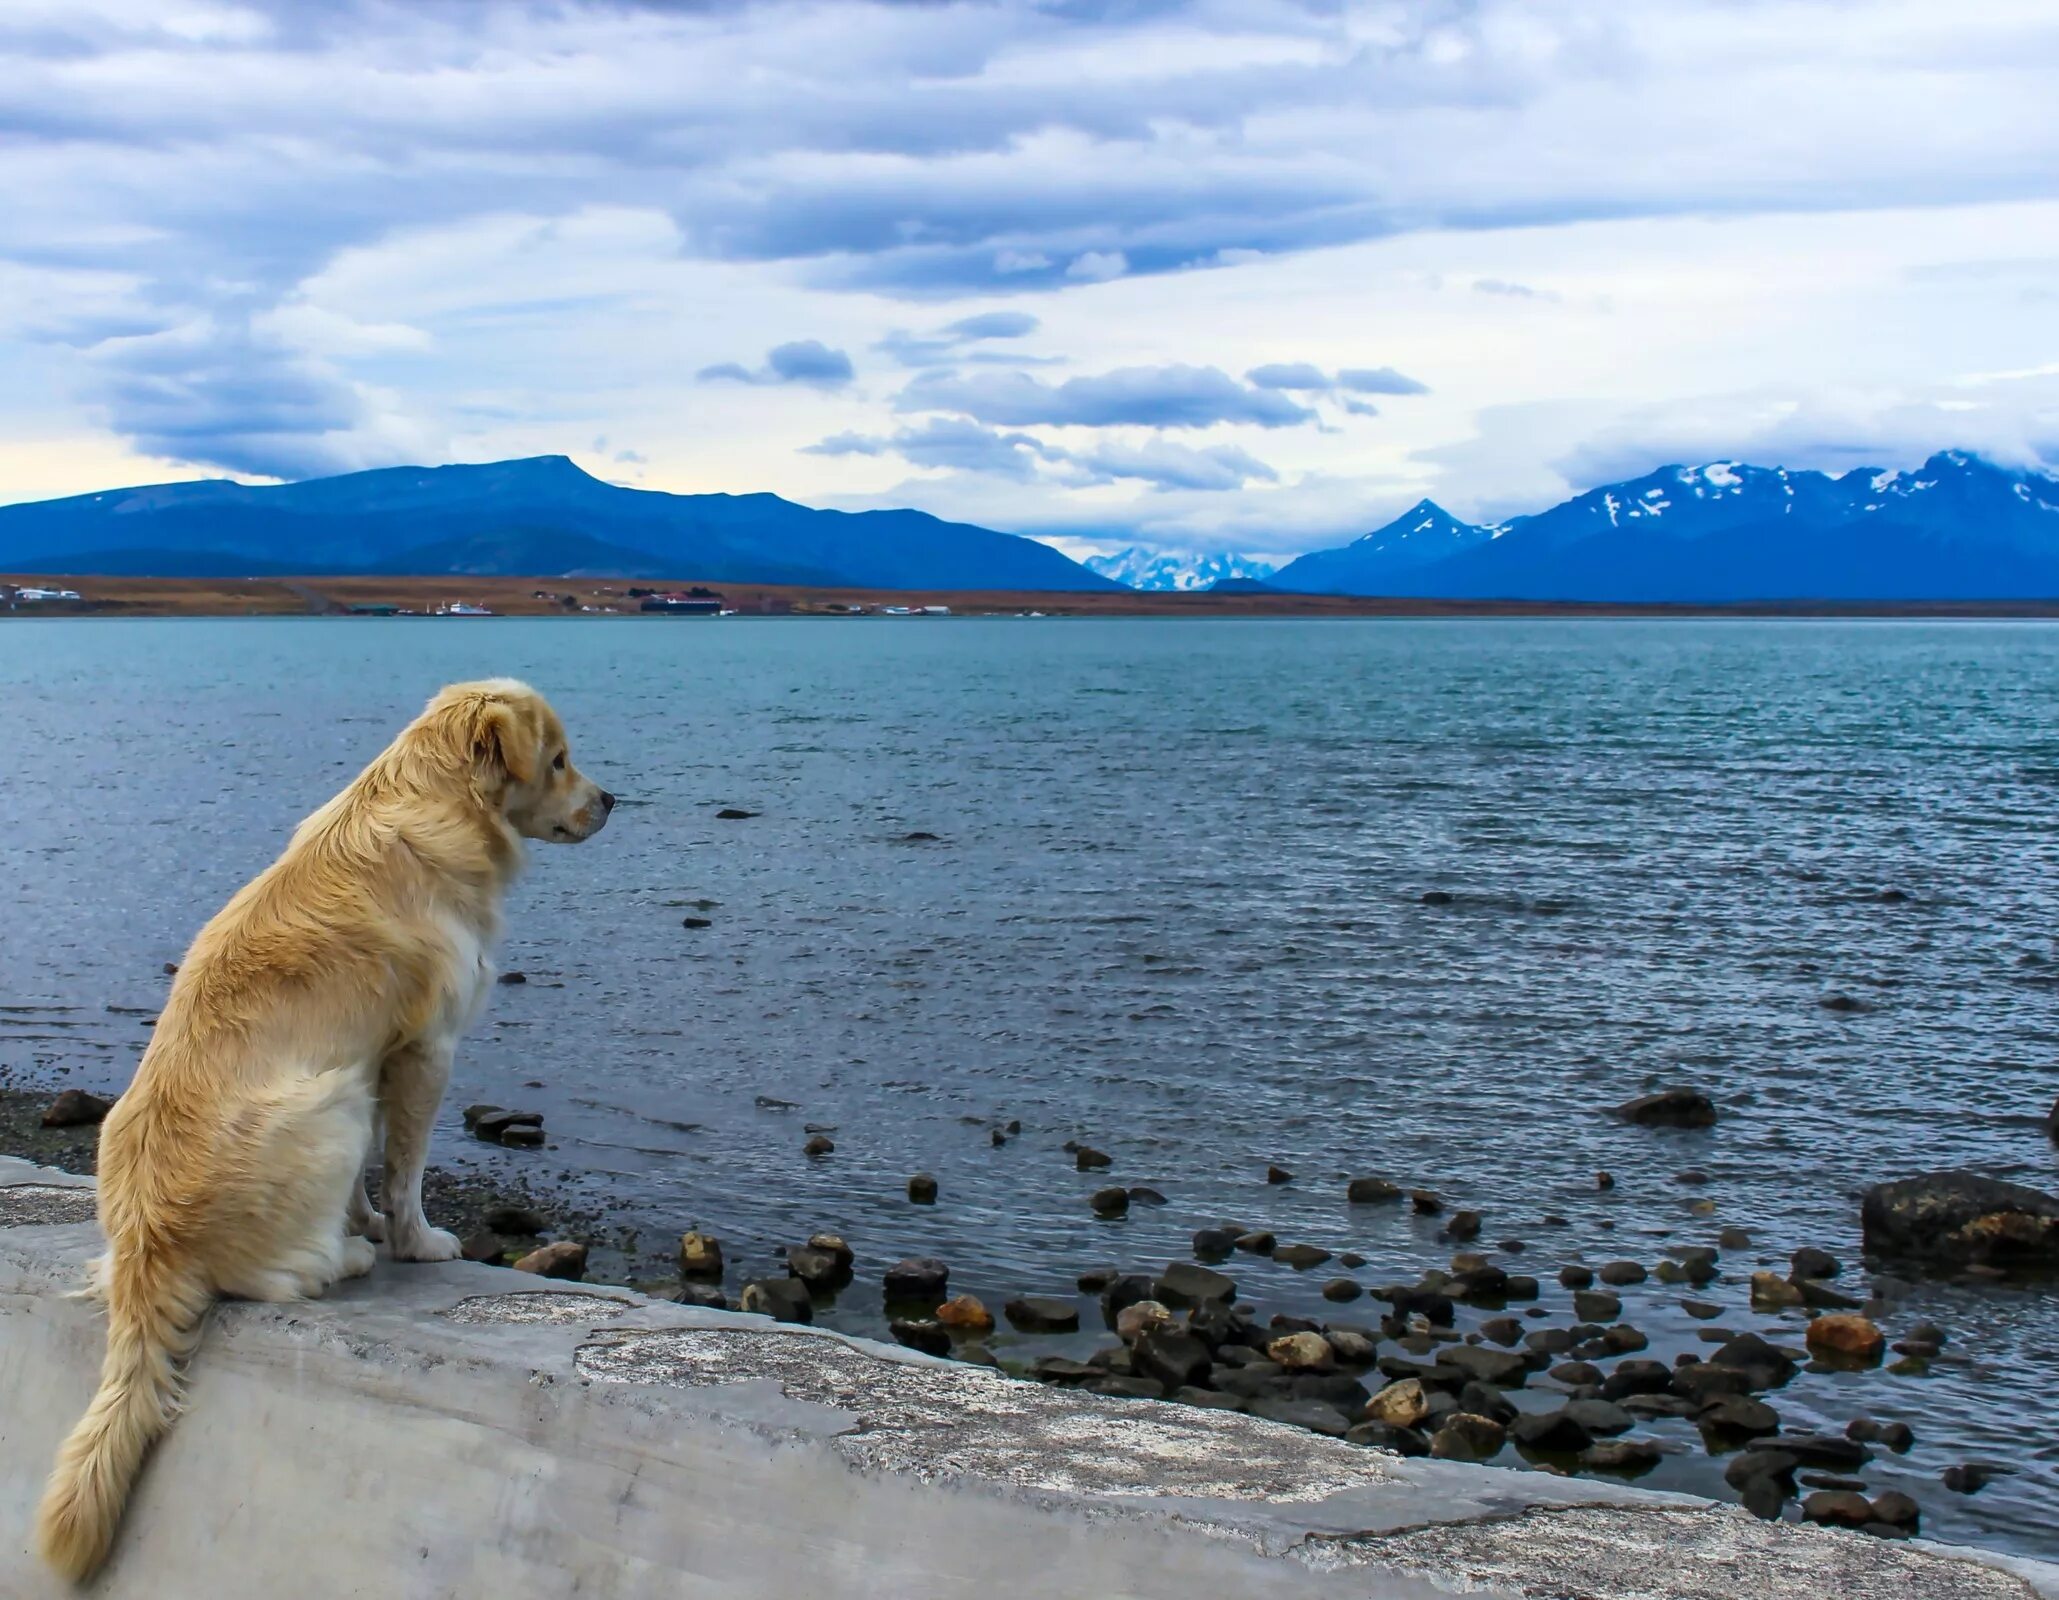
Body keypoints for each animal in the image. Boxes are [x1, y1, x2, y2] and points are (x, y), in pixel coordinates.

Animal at [36, 675, 609, 1581]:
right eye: (557, 761)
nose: (611, 800)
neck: (436, 795)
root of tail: (148, 1249)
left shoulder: (374, 1058)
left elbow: (374, 1176)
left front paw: (364, 1218)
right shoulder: (423, 1049)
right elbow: (407, 1168)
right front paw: (411, 1239)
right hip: (326, 1104)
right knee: (268, 1279)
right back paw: (341, 1259)